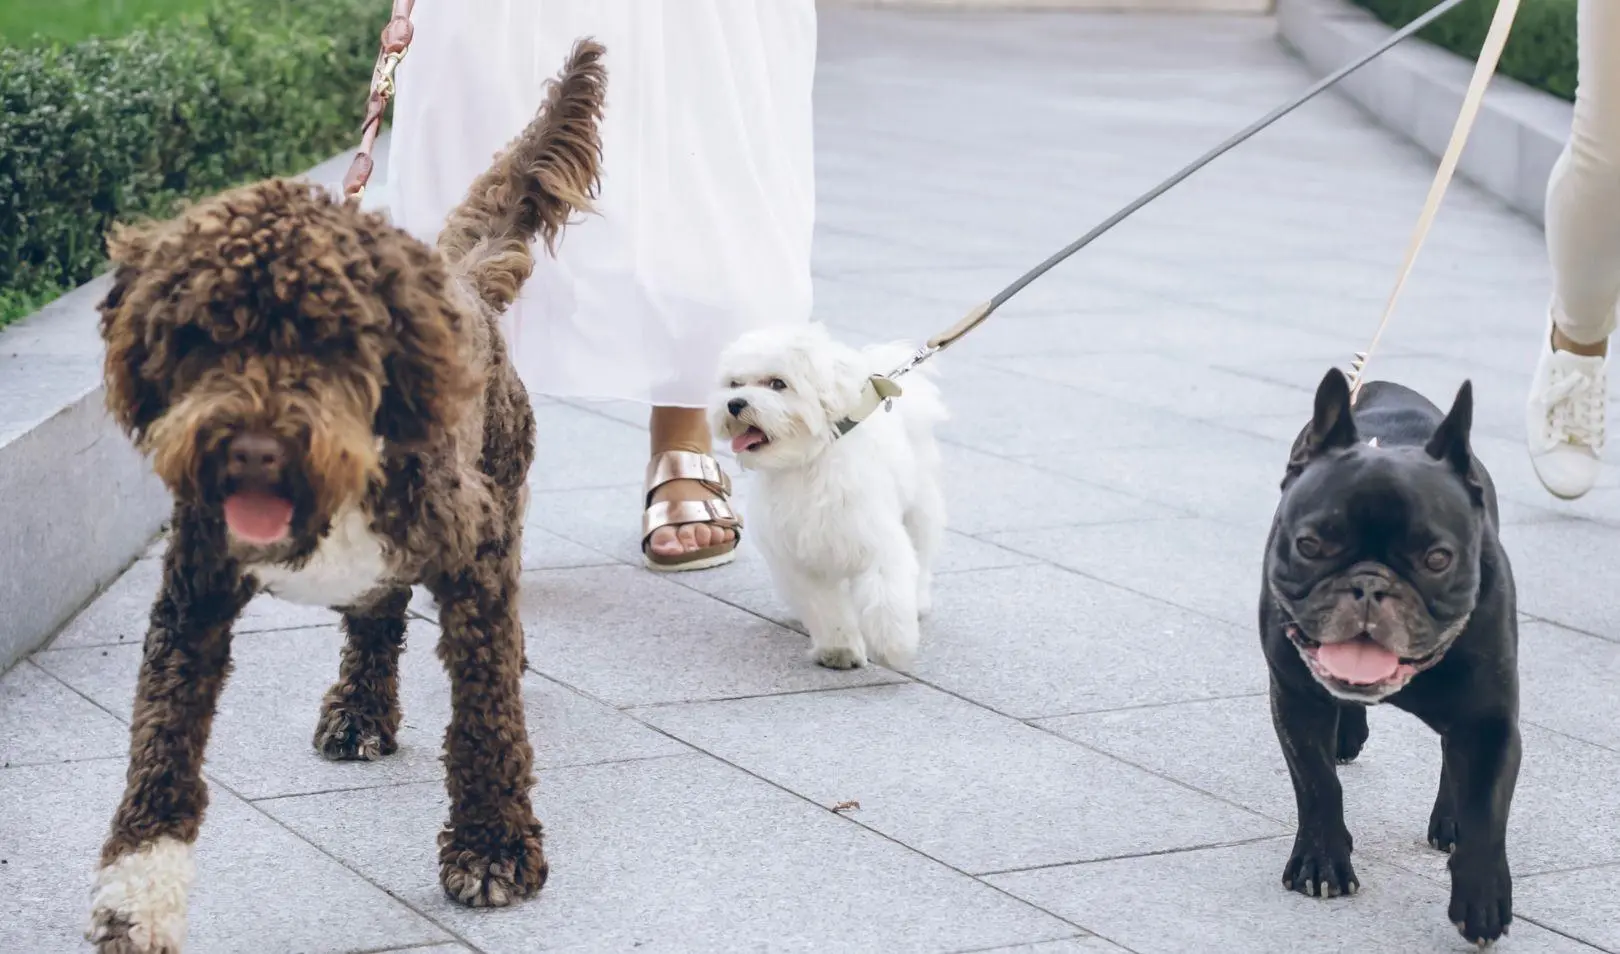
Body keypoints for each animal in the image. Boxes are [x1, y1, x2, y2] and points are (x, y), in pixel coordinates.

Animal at [82, 37, 605, 952]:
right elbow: (161, 743)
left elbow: (486, 715)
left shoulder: (474, 554)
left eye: (328, 340)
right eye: (199, 337)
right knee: (374, 618)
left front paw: (494, 846)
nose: (253, 448)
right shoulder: (193, 592)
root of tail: (463, 278)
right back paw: (359, 712)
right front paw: (136, 894)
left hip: (502, 482)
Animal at [709, 323, 946, 667]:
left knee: (922, 551)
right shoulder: (800, 559)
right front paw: (839, 649)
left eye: (778, 383)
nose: (735, 403)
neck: (806, 462)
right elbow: (825, 607)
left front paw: (894, 645)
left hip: (920, 505)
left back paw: (919, 601)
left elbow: (886, 594)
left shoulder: (875, 538)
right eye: (734, 384)